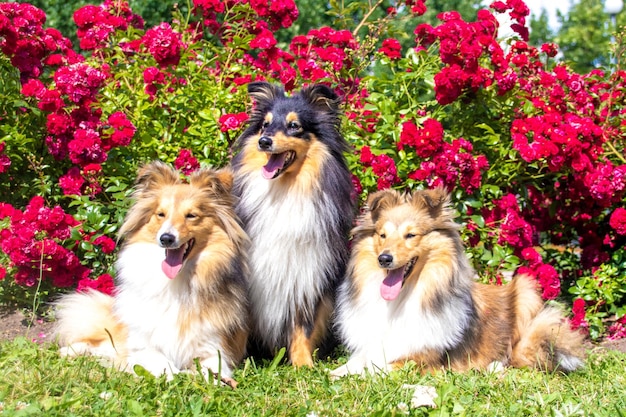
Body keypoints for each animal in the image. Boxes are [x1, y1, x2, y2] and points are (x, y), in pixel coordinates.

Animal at [54, 160, 249, 384]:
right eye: (160, 214)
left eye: (191, 215)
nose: (166, 238)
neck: (176, 281)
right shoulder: (143, 345)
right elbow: (165, 365)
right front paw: (176, 376)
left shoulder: (213, 348)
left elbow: (211, 372)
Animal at [230, 80, 356, 364]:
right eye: (265, 125)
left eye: (294, 125)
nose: (264, 141)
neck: (284, 190)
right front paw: (237, 363)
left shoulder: (306, 273)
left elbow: (302, 326)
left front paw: (303, 364)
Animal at [334, 187, 584, 376]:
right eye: (382, 235)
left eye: (411, 235)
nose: (384, 258)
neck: (400, 300)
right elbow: (351, 364)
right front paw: (337, 373)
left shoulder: (426, 361)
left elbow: (379, 368)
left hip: (526, 292)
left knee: (520, 356)